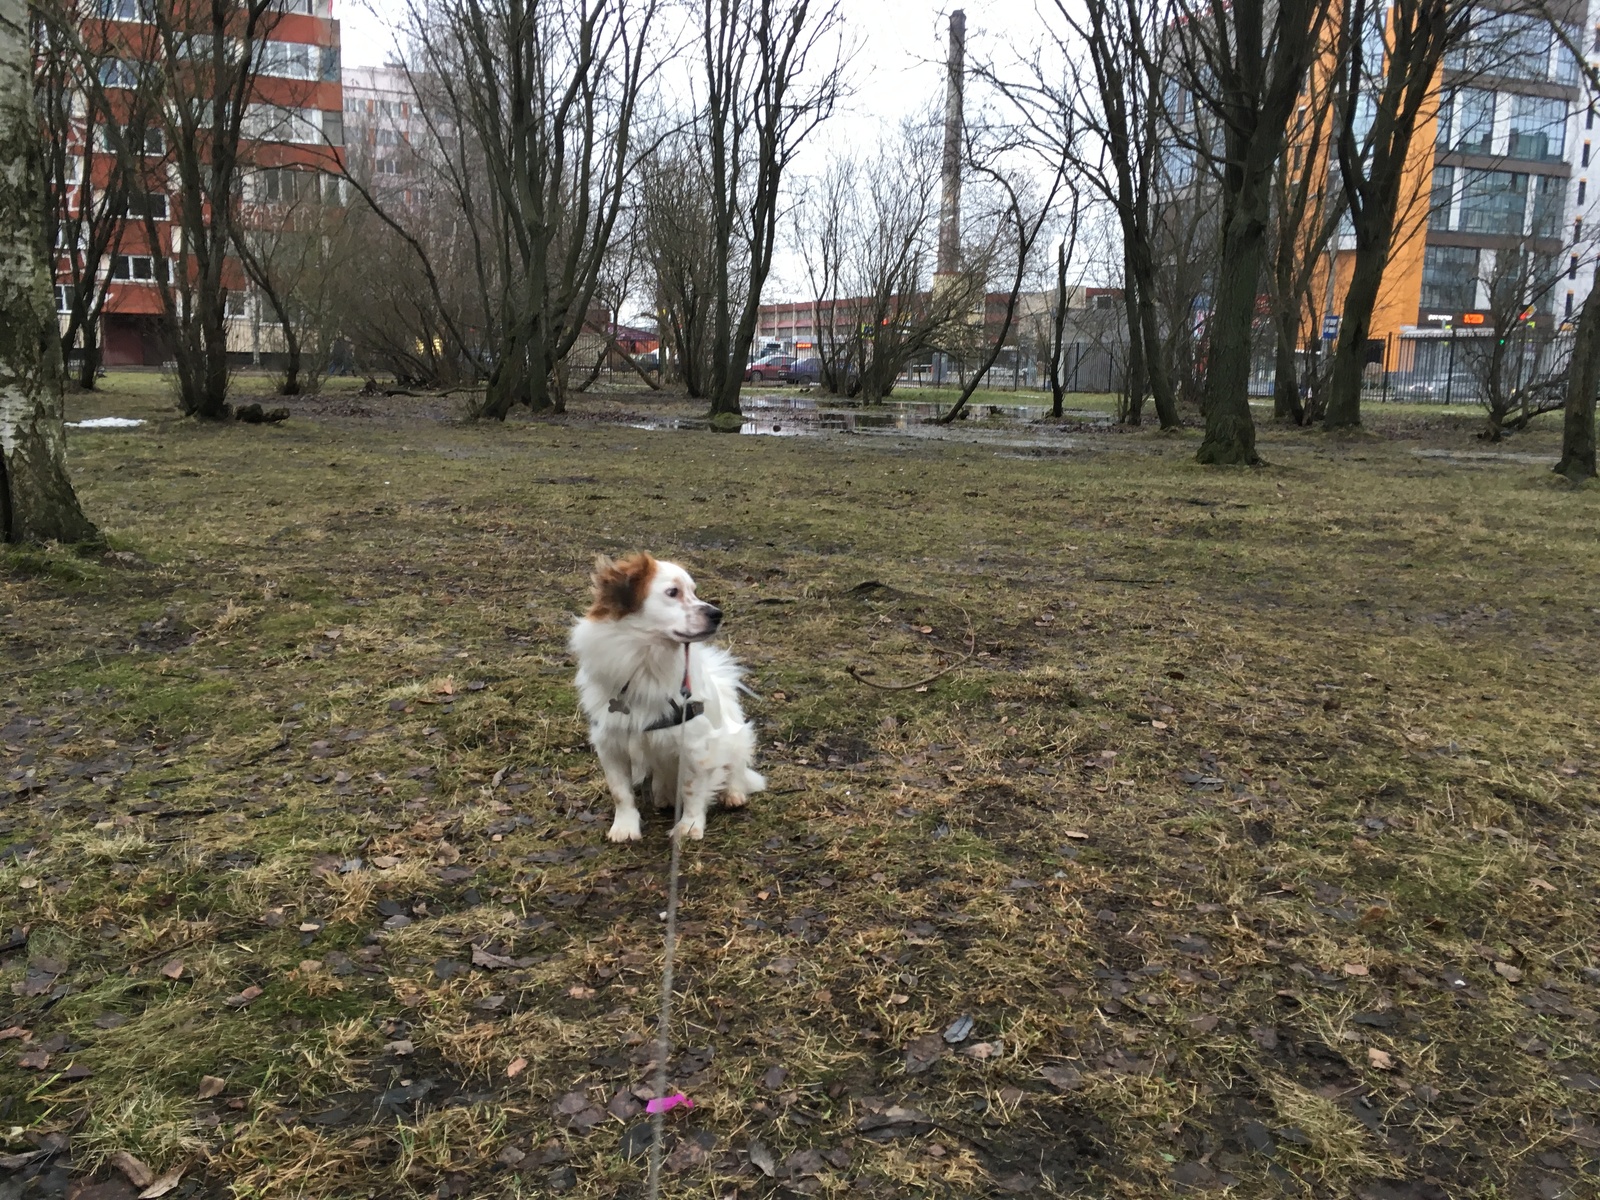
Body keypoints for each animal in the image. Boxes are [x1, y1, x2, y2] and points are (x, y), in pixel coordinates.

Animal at [572, 556, 764, 844]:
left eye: (694, 591)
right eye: (673, 592)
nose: (717, 614)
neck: (645, 662)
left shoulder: (695, 745)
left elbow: (692, 788)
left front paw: (689, 825)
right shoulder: (610, 744)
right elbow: (620, 792)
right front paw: (625, 826)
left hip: (735, 738)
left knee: (735, 770)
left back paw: (733, 793)